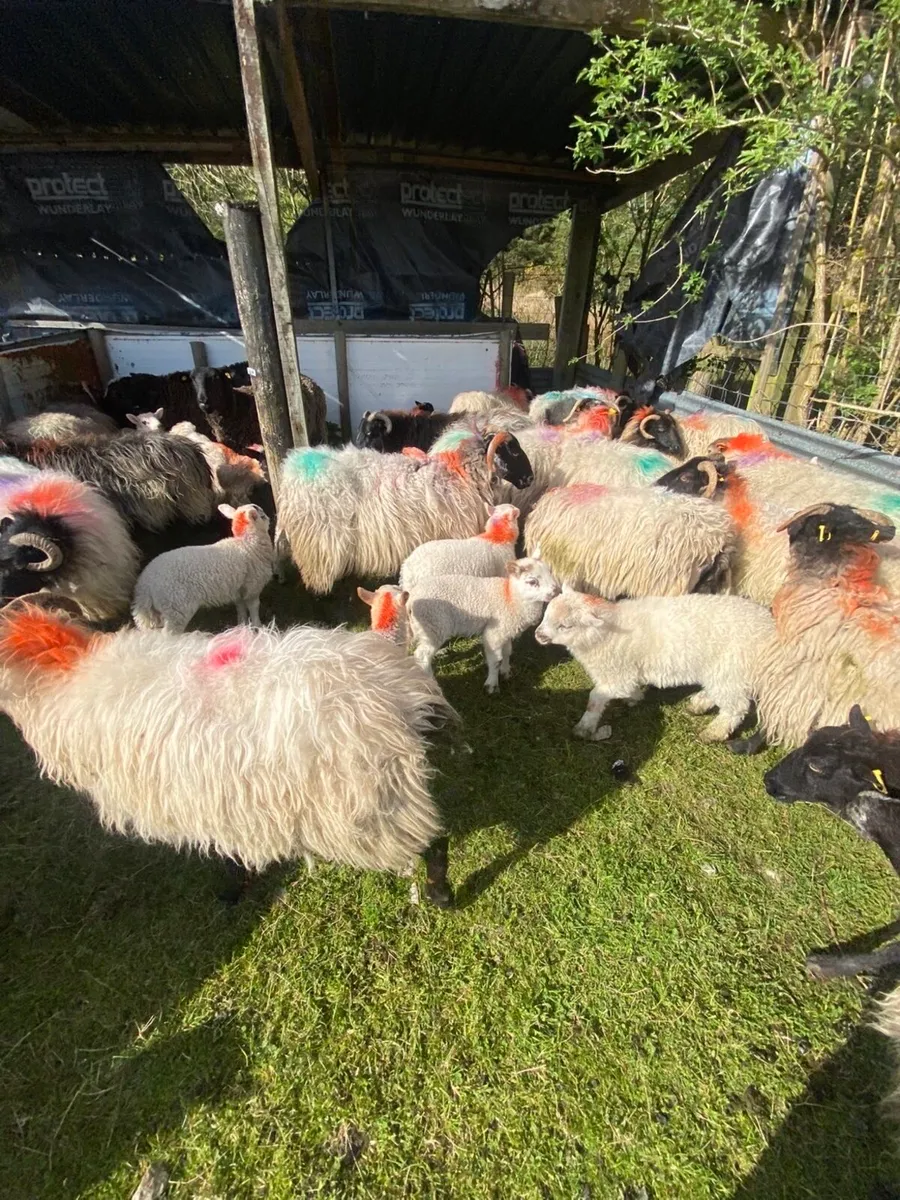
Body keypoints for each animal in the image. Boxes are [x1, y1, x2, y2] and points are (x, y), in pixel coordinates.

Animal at [0, 601, 456, 906]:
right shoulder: (220, 795)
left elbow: (229, 856)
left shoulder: (209, 800)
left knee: (435, 841)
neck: (69, 677)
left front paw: (232, 891)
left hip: (375, 803)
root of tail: (397, 694)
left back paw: (440, 894)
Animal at [132, 503, 274, 633]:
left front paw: (243, 627)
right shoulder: (253, 585)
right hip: (176, 606)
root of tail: (144, 586)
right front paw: (259, 627)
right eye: (262, 515)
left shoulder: (238, 588)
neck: (247, 542)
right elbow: (254, 606)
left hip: (158, 611)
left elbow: (241, 608)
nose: (270, 518)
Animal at [407, 556, 559, 691]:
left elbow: (507, 652)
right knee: (422, 656)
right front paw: (492, 685)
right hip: (434, 623)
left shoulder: (507, 629)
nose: (556, 591)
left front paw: (506, 672)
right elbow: (495, 660)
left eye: (550, 572)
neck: (511, 598)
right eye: (532, 581)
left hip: (425, 627)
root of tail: (411, 599)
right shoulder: (495, 632)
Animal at [534, 586, 774, 742]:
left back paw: (713, 732)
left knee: (736, 707)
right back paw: (699, 703)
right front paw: (635, 697)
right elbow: (627, 689)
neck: (603, 635)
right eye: (546, 614)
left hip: (731, 666)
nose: (538, 635)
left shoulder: (618, 673)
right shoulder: (623, 674)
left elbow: (595, 698)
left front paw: (584, 727)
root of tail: (767, 627)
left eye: (565, 626)